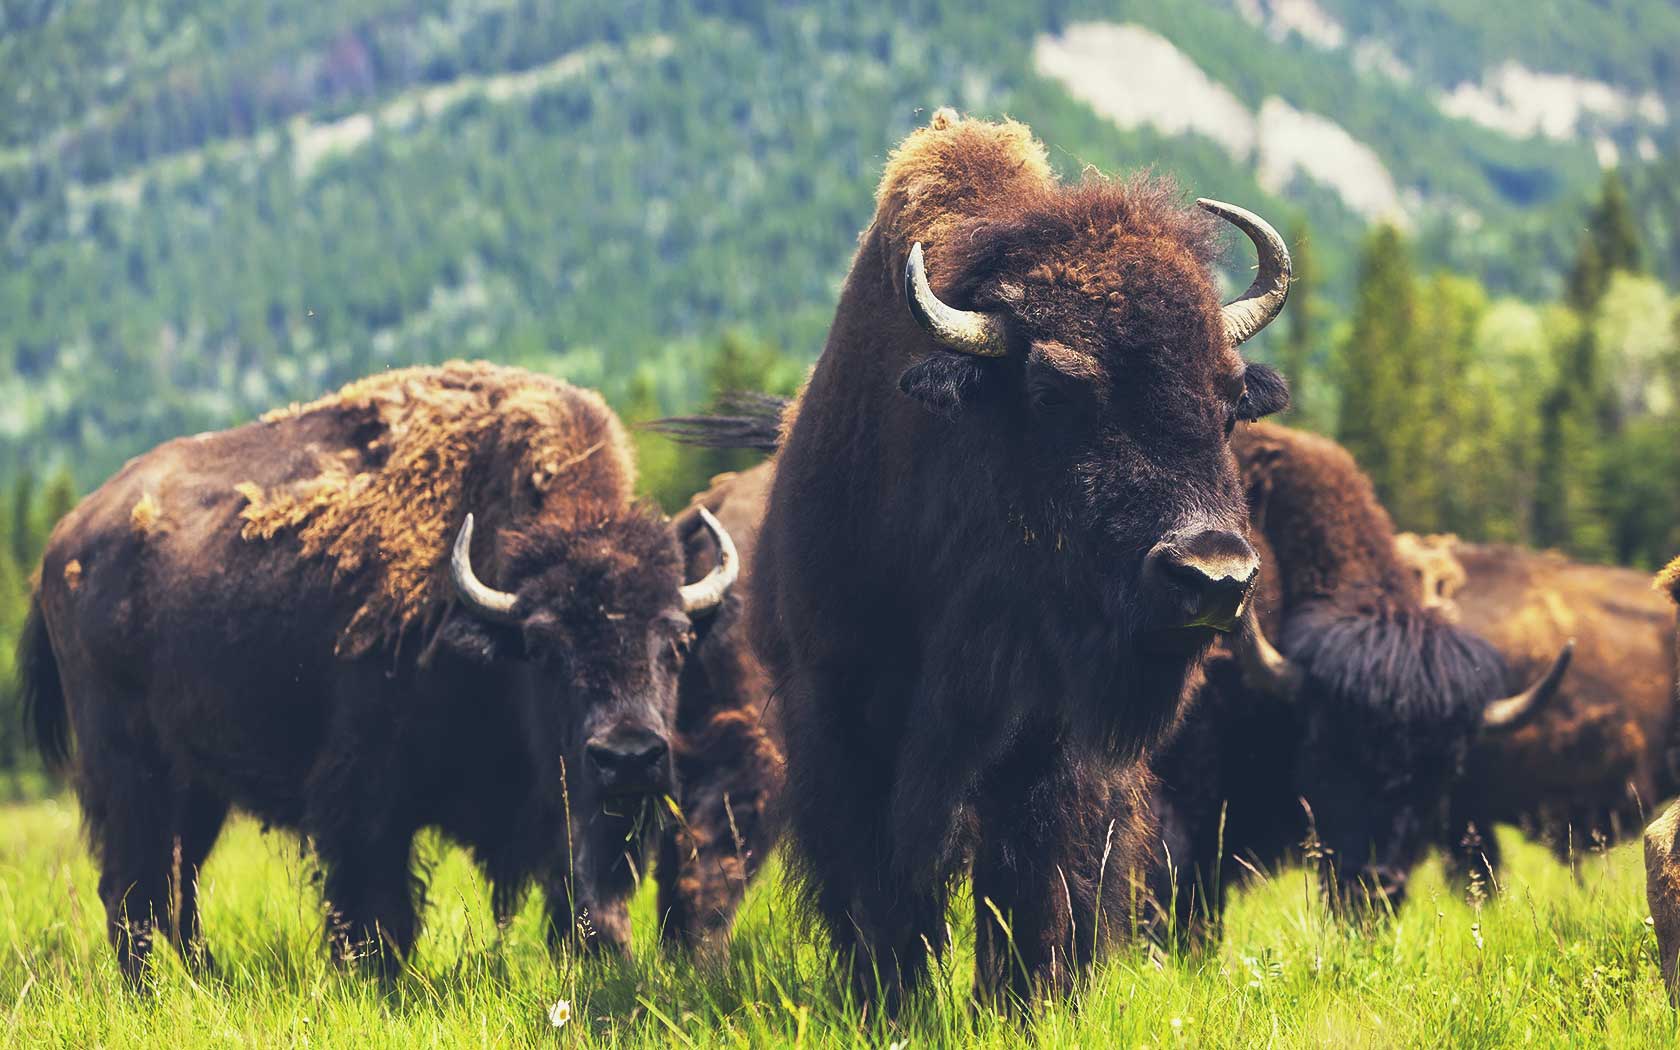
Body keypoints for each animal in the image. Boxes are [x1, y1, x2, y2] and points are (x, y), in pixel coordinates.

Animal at [19, 361, 738, 982]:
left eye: (677, 641)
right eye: (542, 648)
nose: (628, 757)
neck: (485, 625)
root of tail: (63, 542)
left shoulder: (569, 815)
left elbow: (582, 893)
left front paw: (610, 960)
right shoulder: (365, 795)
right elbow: (376, 906)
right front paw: (377, 979)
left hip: (197, 785)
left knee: (177, 887)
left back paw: (207, 980)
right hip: (128, 770)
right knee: (132, 890)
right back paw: (152, 989)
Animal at [672, 109, 1295, 1008]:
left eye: (1229, 401)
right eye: (1056, 391)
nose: (1212, 574)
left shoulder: (1046, 737)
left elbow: (1031, 876)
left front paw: (1024, 1002)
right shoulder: (843, 711)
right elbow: (881, 874)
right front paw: (890, 996)